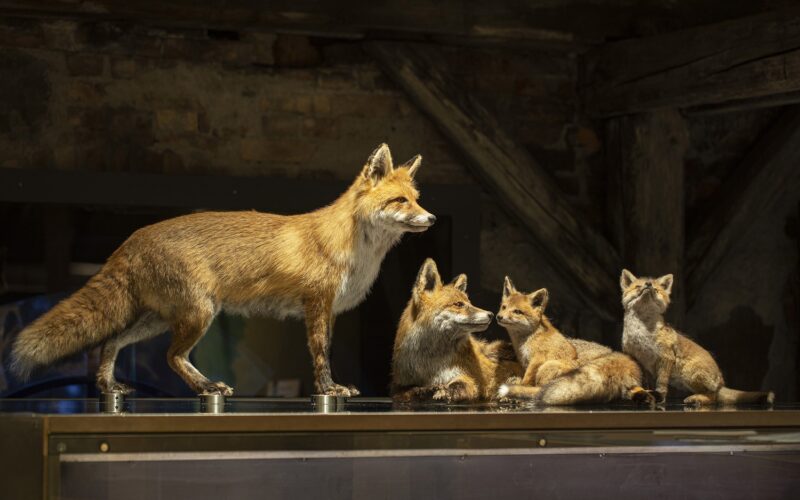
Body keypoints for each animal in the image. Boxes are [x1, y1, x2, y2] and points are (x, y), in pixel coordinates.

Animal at [10, 144, 435, 397]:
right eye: (400, 201)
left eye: (417, 199)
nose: (431, 218)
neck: (353, 247)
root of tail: (131, 239)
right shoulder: (316, 302)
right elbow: (320, 352)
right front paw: (328, 390)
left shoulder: (328, 309)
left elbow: (324, 350)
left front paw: (327, 388)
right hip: (198, 314)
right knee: (171, 357)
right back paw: (206, 387)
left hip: (161, 318)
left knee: (111, 342)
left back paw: (110, 387)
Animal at [391, 259, 522, 403]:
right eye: (459, 304)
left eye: (469, 303)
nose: (491, 315)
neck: (431, 364)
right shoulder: (397, 386)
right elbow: (410, 391)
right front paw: (425, 390)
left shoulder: (467, 377)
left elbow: (457, 386)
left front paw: (443, 391)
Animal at [620, 269, 775, 406]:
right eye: (638, 286)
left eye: (656, 290)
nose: (648, 285)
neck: (642, 331)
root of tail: (721, 382)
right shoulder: (638, 359)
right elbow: (645, 383)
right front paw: (645, 394)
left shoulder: (665, 356)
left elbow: (661, 383)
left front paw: (659, 397)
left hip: (688, 373)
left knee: (714, 397)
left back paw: (697, 399)